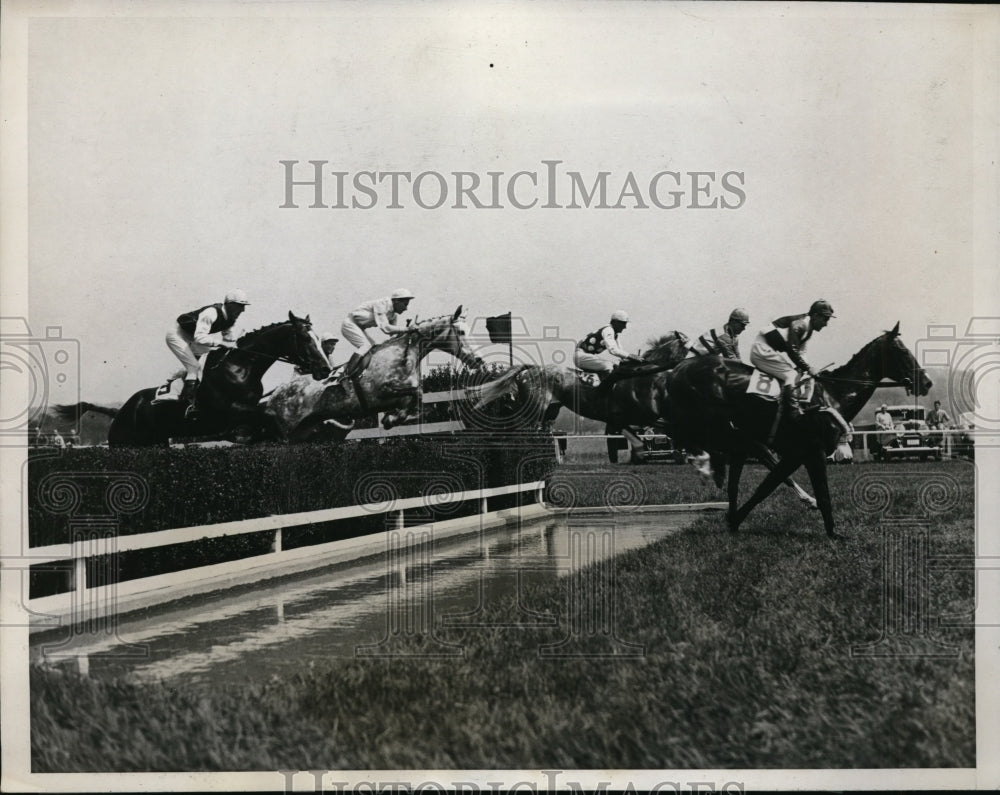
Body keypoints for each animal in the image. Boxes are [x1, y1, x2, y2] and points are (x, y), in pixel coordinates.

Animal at [57, 312, 332, 448]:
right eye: (306, 339)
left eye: (319, 339)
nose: (325, 369)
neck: (241, 367)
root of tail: (121, 410)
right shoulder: (228, 410)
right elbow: (267, 415)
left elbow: (264, 417)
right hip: (124, 443)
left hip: (156, 442)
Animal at [262, 306, 484, 444]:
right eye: (461, 332)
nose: (479, 360)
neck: (404, 355)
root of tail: (273, 396)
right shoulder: (381, 392)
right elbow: (416, 393)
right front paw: (390, 418)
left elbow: (417, 402)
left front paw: (391, 418)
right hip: (286, 429)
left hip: (303, 430)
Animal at [664, 324, 928, 540]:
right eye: (903, 352)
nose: (926, 382)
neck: (833, 396)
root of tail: (677, 370)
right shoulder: (813, 452)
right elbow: (821, 493)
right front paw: (833, 532)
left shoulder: (794, 454)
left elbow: (766, 486)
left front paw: (735, 520)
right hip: (706, 421)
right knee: (693, 439)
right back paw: (705, 466)